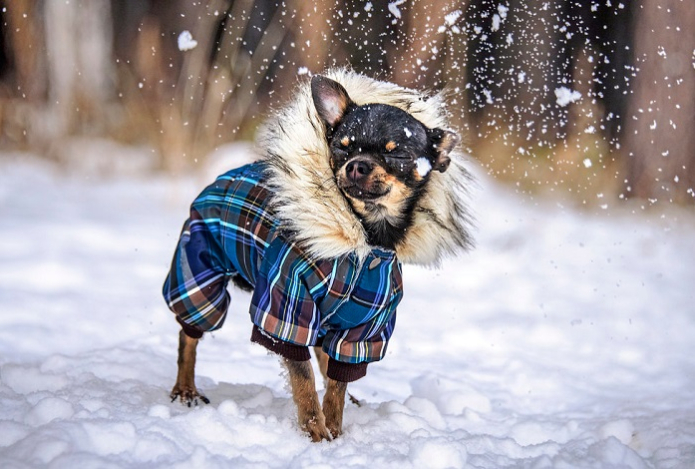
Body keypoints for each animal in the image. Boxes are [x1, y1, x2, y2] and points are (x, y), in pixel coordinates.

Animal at [163, 69, 470, 438]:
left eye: (397, 155)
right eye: (341, 147)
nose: (357, 166)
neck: (362, 242)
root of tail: (220, 178)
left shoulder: (363, 326)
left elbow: (337, 380)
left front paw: (335, 426)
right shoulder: (287, 308)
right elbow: (303, 379)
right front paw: (315, 432)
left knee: (325, 356)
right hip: (200, 271)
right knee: (189, 334)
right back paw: (185, 389)